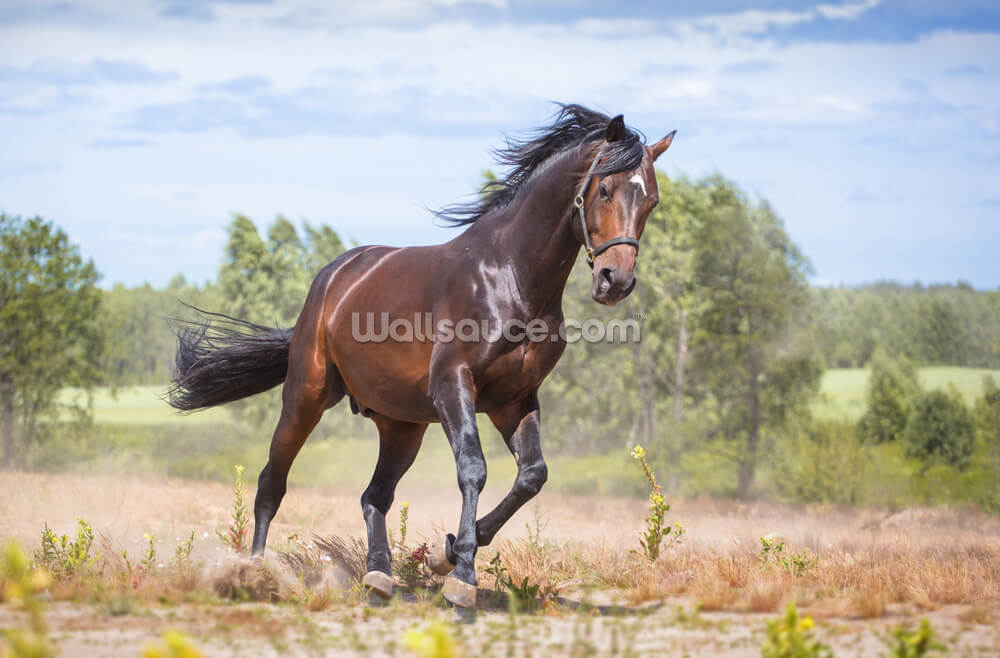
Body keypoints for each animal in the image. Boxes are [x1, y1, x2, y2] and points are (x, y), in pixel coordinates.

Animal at [168, 104, 675, 608]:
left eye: (651, 202)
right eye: (604, 189)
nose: (615, 281)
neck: (509, 277)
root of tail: (332, 278)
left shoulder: (515, 400)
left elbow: (532, 476)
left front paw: (443, 553)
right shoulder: (454, 384)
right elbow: (473, 469)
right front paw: (462, 575)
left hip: (402, 426)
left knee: (374, 496)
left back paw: (379, 576)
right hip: (306, 396)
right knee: (271, 482)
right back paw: (253, 574)